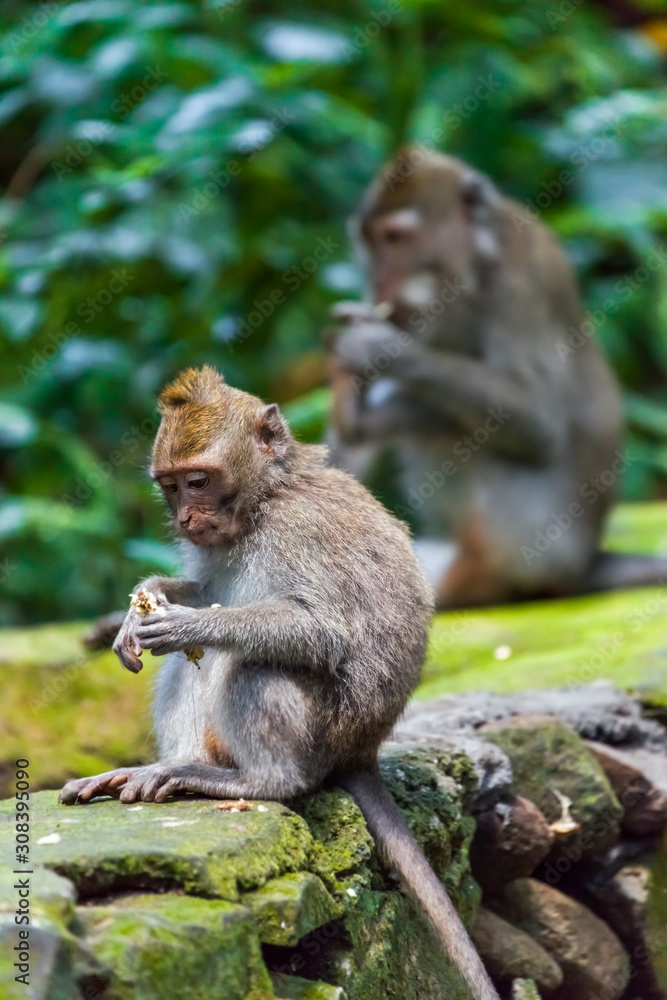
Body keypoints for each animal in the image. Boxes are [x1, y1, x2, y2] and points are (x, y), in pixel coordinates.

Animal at [60, 368, 498, 1000]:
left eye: (199, 481)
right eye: (170, 487)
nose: (186, 518)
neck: (266, 498)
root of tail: (363, 749)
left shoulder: (297, 531)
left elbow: (319, 631)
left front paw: (189, 623)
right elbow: (206, 586)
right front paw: (143, 604)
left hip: (327, 730)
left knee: (255, 663)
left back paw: (261, 781)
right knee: (194, 666)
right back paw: (175, 764)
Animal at [328, 146, 667, 600]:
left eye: (395, 237)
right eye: (369, 241)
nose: (380, 282)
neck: (469, 269)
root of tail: (585, 563)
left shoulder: (520, 281)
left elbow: (536, 418)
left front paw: (378, 348)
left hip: (536, 550)